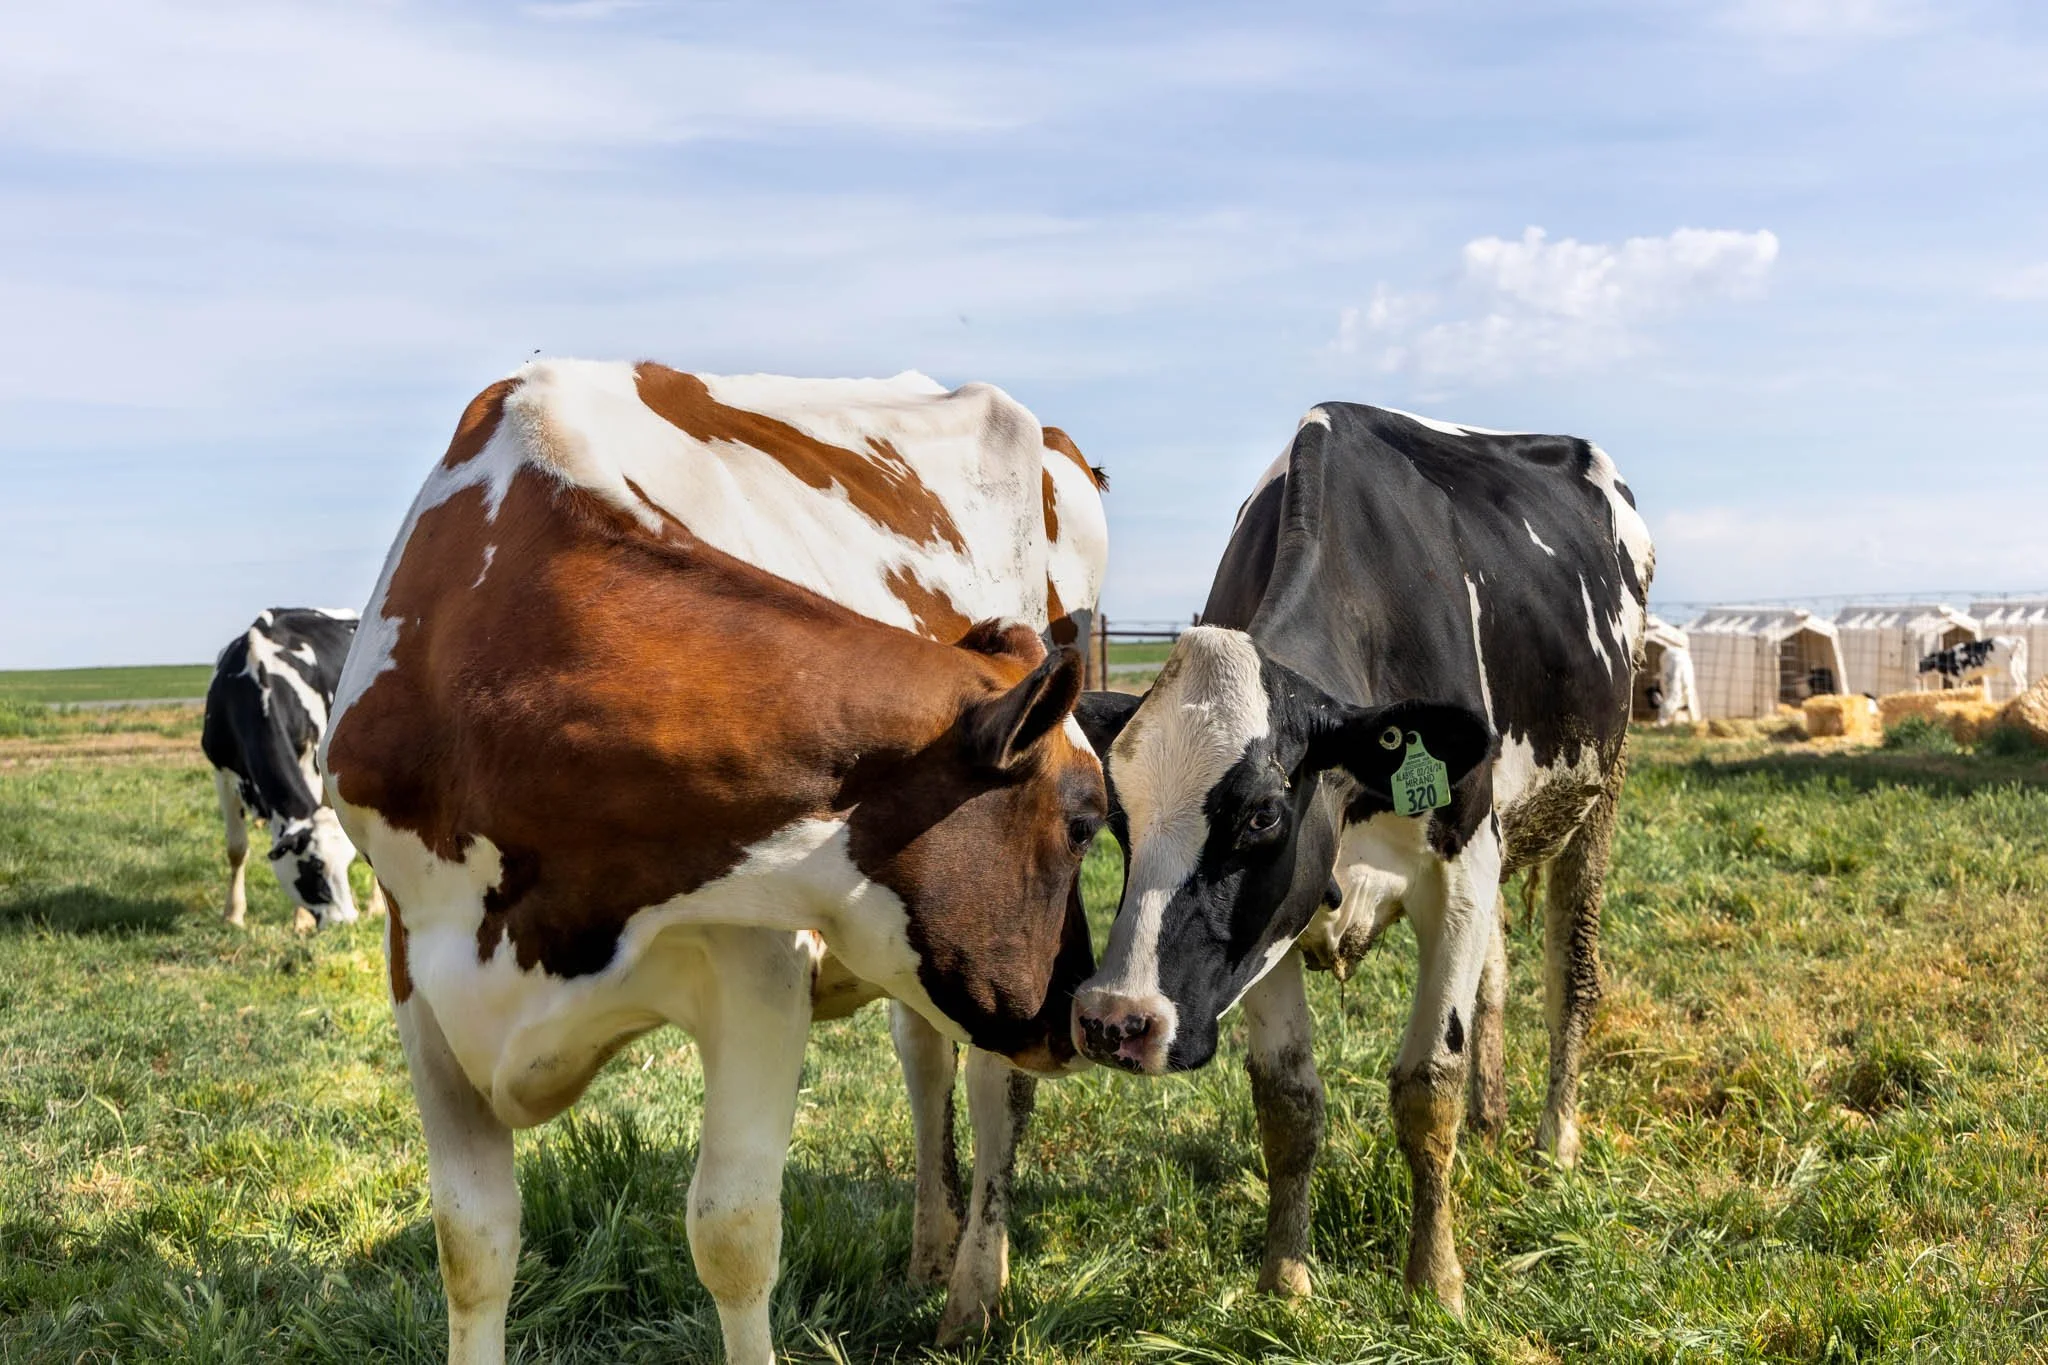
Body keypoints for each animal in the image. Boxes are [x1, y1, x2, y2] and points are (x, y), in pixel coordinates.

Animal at [202, 607, 379, 928]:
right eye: (314, 868)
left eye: (346, 865)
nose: (346, 922)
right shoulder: (222, 772)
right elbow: (236, 849)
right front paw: (233, 914)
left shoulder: (308, 761)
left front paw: (300, 921)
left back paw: (375, 906)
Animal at [322, 360, 1109, 1365]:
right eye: (1084, 823)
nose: (1076, 1010)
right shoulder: (419, 966)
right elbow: (472, 1240)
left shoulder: (761, 964)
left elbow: (731, 1233)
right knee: (926, 1054)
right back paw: (931, 1254)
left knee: (992, 1084)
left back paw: (973, 1293)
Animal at [1069, 403, 1650, 1314]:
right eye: (1118, 822)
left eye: (1263, 814)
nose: (1114, 1019)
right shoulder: (1271, 923)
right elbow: (1289, 1103)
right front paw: (1284, 1280)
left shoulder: (1458, 869)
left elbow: (1426, 1085)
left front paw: (1435, 1281)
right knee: (1498, 978)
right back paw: (1492, 1118)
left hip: (1600, 792)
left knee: (1571, 977)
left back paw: (1554, 1141)